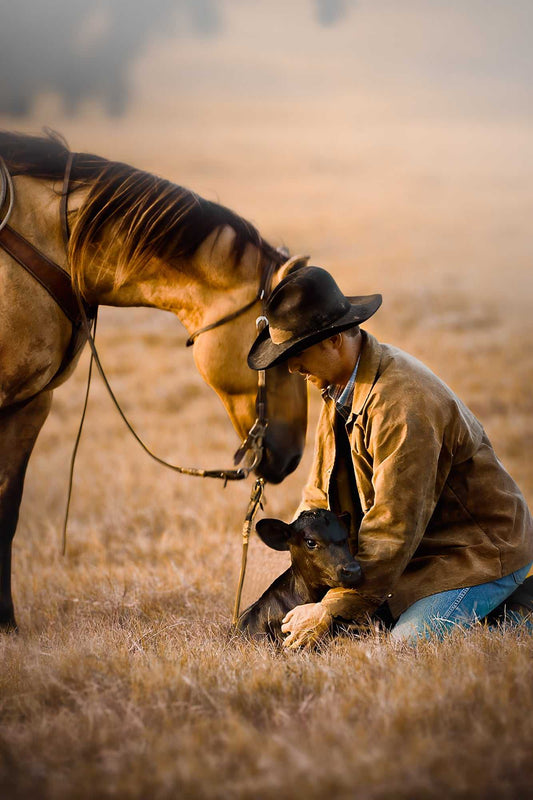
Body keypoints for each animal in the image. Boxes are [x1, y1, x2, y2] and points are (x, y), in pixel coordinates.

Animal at [0, 130, 308, 631]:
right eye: (278, 359)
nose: (294, 455)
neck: (52, 240)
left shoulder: (31, 403)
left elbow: (7, 509)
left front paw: (5, 621)